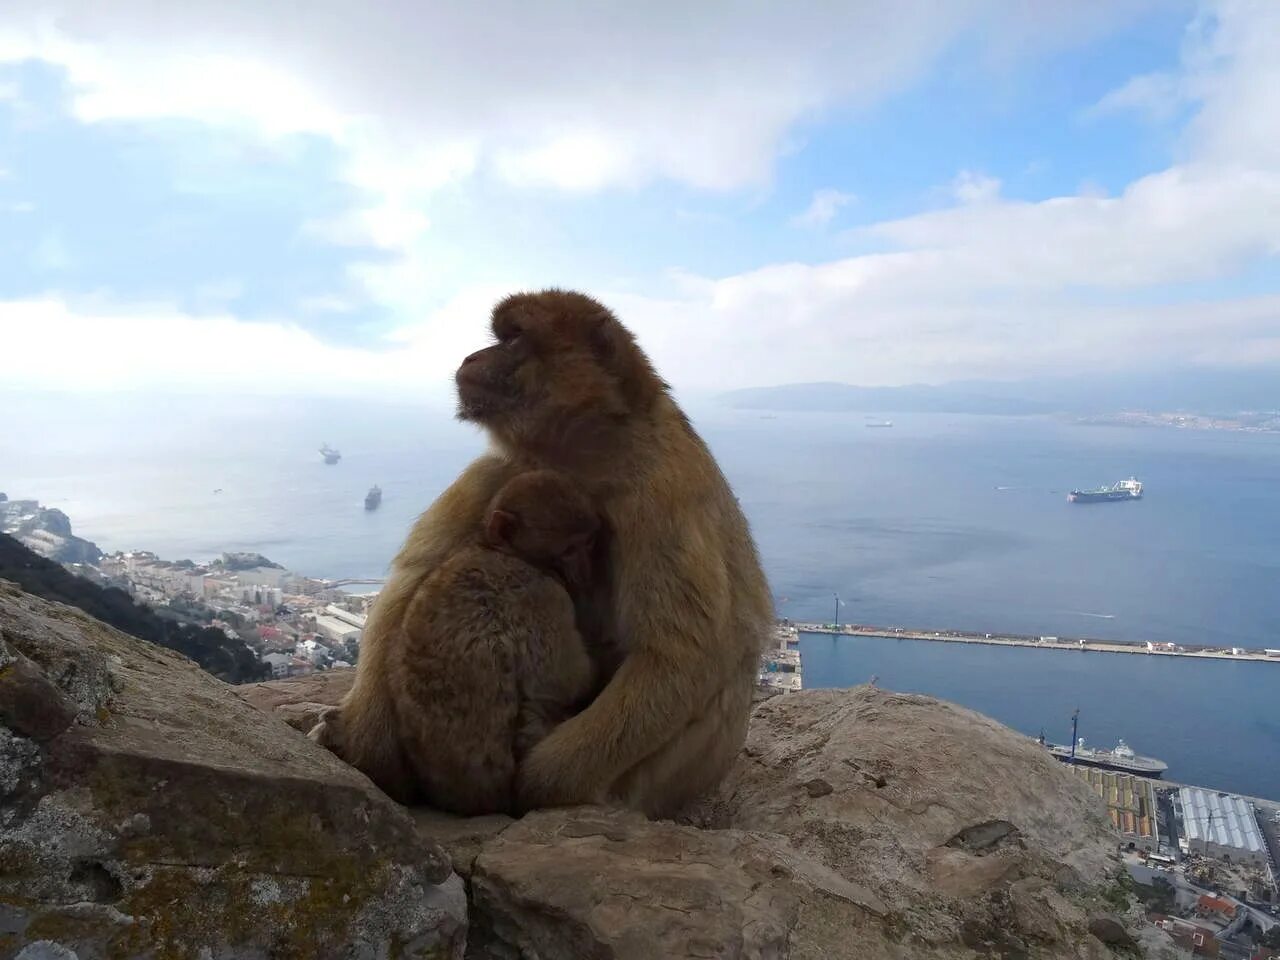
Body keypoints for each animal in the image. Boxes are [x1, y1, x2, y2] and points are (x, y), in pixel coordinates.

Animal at [384, 471, 599, 814]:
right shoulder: (543, 593)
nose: (586, 570)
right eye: (569, 549)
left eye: (589, 543)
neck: (496, 549)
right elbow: (563, 680)